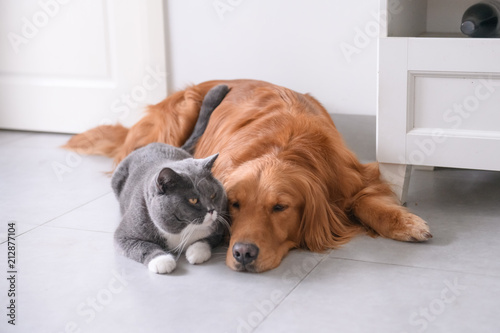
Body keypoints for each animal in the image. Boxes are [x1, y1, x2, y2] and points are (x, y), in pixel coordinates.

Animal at [112, 84, 229, 274]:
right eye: (193, 200)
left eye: (213, 195)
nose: (212, 210)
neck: (182, 230)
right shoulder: (124, 235)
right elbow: (143, 247)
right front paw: (162, 261)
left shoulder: (219, 228)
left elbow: (206, 240)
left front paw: (196, 252)